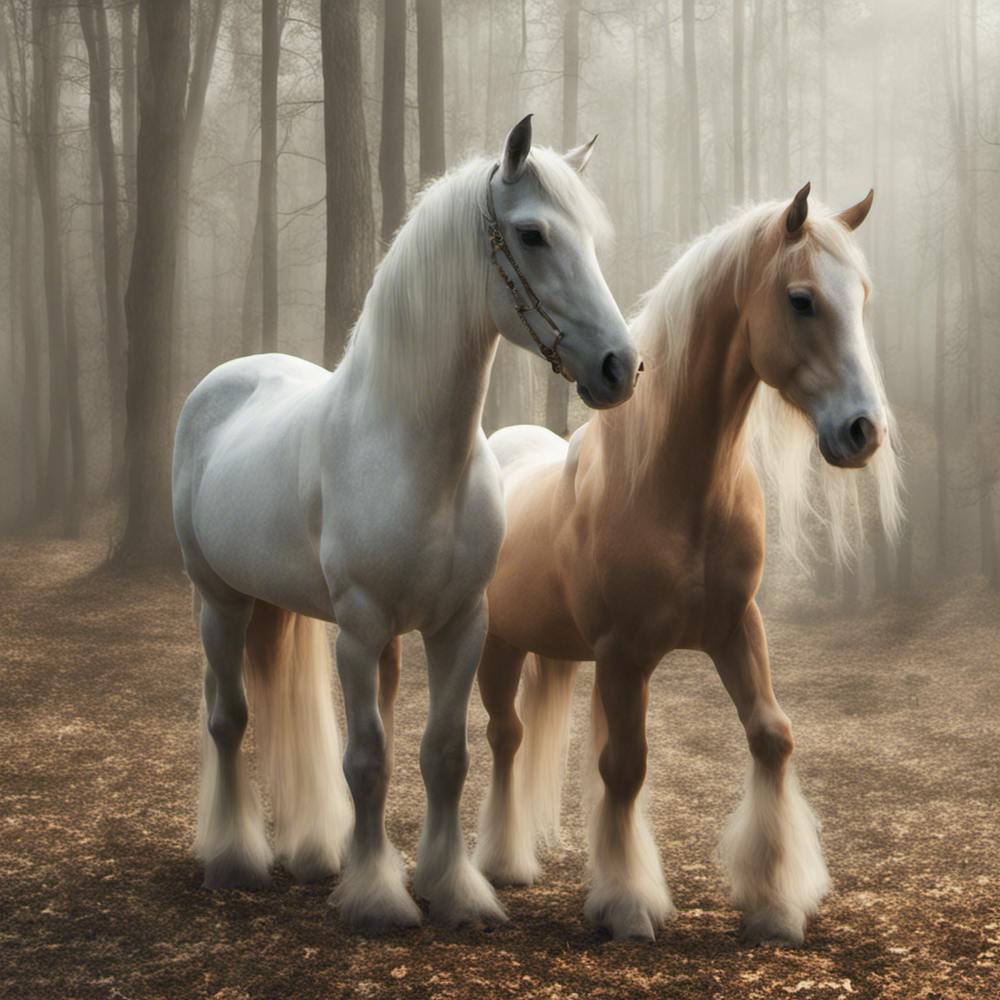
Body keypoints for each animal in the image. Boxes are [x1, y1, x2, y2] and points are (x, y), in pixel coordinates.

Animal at [171, 115, 639, 932]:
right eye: (533, 234)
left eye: (588, 236)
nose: (620, 366)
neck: (413, 452)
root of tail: (222, 382)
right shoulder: (358, 630)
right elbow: (368, 759)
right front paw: (377, 899)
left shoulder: (461, 625)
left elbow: (443, 755)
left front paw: (453, 890)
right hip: (219, 601)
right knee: (228, 718)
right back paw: (234, 860)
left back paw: (313, 852)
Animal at [472, 183, 902, 943]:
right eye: (801, 300)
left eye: (861, 296)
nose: (863, 431)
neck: (675, 485)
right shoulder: (623, 654)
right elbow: (624, 768)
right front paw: (627, 903)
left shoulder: (735, 629)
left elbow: (771, 738)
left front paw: (773, 902)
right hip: (499, 645)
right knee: (506, 738)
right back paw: (504, 862)